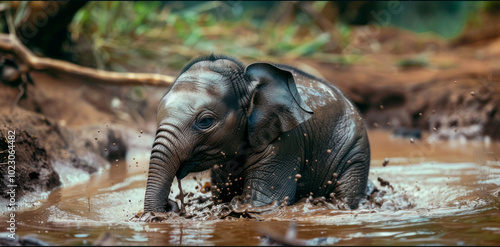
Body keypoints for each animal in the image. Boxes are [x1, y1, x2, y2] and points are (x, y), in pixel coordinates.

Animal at [143, 54, 370, 212]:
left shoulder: (284, 144)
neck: (247, 81)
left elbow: (260, 203)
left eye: (205, 121)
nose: (171, 205)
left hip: (355, 153)